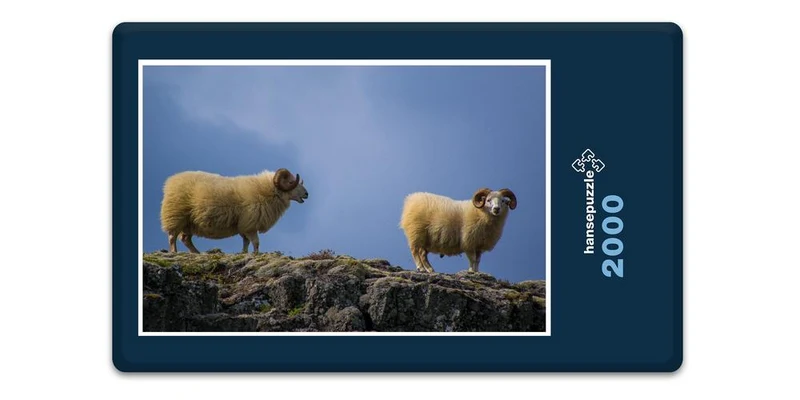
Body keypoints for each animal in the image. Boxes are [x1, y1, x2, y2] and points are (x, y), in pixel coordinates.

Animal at [159, 168, 309, 254]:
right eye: (291, 182)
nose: (307, 194)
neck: (268, 191)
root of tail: (171, 180)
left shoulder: (243, 225)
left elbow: (246, 242)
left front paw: (244, 253)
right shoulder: (250, 224)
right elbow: (256, 242)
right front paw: (255, 255)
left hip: (189, 223)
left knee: (185, 239)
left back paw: (197, 253)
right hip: (176, 215)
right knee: (172, 236)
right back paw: (174, 252)